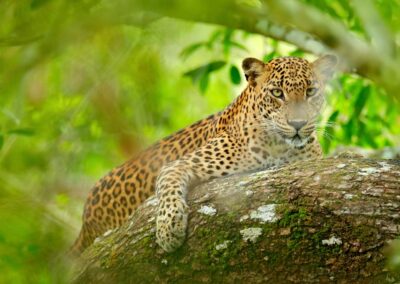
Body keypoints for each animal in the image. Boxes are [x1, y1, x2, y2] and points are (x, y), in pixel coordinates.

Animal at [72, 54, 338, 254]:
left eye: (311, 91)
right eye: (277, 93)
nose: (298, 123)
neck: (282, 147)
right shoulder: (180, 164)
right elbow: (168, 184)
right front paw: (169, 228)